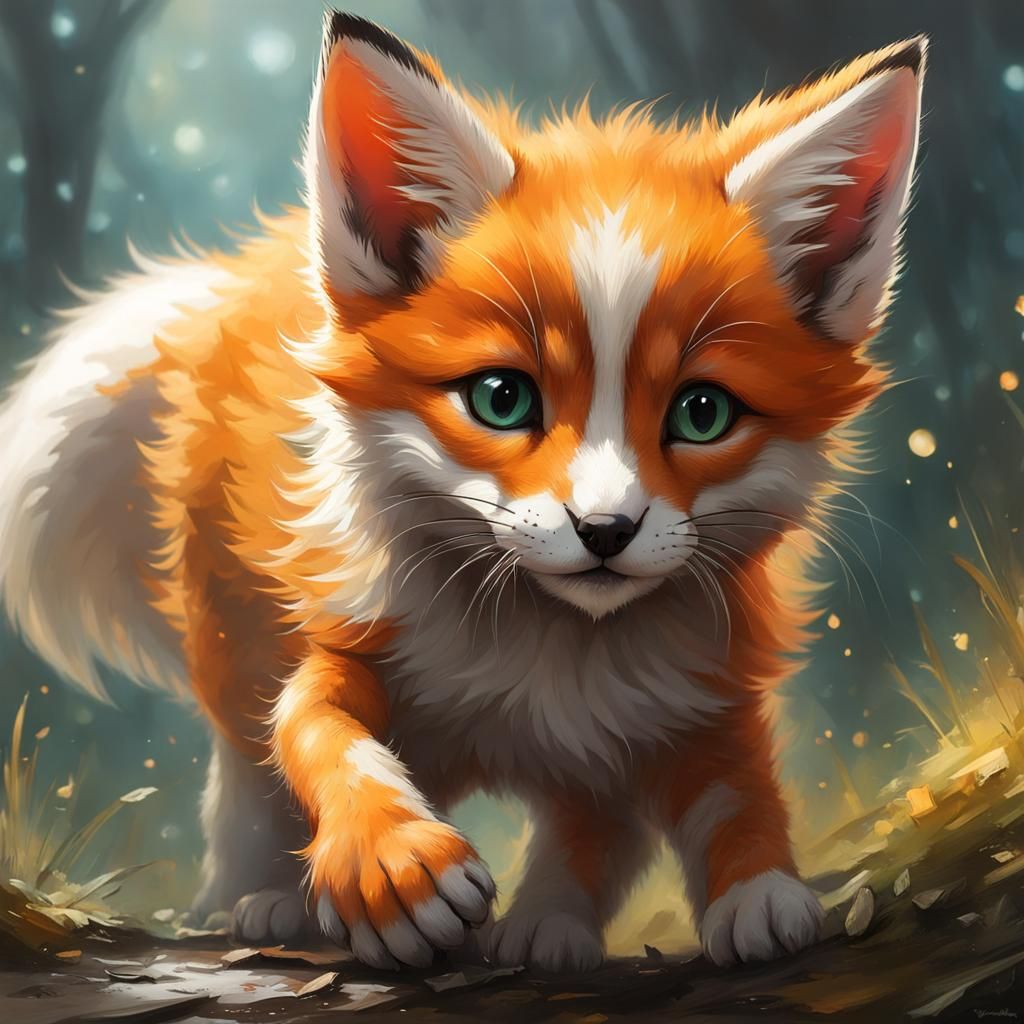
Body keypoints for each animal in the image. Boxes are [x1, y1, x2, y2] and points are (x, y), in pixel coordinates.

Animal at [0, 12, 925, 972]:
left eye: (702, 413)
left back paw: (547, 923)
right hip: (233, 640)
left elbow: (727, 788)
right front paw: (394, 865)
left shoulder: (698, 681)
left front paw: (757, 887)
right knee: (247, 775)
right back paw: (265, 899)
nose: (605, 529)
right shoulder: (351, 636)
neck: (541, 664)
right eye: (502, 399)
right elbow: (317, 731)